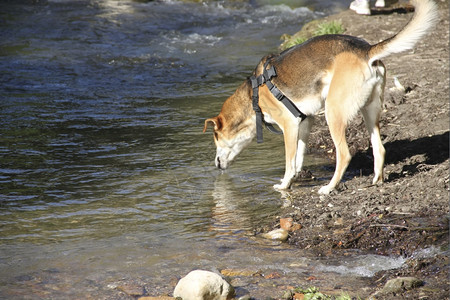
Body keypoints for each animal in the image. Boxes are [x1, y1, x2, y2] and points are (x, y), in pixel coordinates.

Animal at [203, 0, 436, 195]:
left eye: (215, 137)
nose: (215, 164)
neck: (253, 96)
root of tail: (366, 50)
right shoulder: (305, 122)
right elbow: (298, 158)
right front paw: (295, 178)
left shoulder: (289, 125)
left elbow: (289, 161)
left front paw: (284, 184)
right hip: (370, 111)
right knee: (379, 149)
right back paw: (376, 181)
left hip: (333, 113)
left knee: (344, 155)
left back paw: (329, 188)